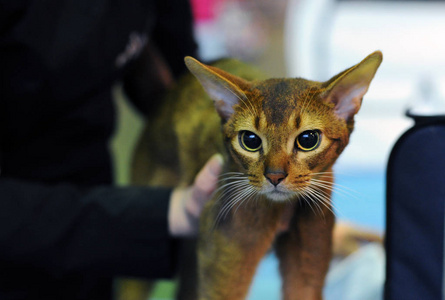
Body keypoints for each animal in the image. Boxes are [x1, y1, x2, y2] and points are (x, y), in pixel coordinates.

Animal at [131, 51, 382, 300]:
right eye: (250, 140)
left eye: (308, 139)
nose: (275, 176)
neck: (279, 212)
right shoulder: (223, 262)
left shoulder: (311, 248)